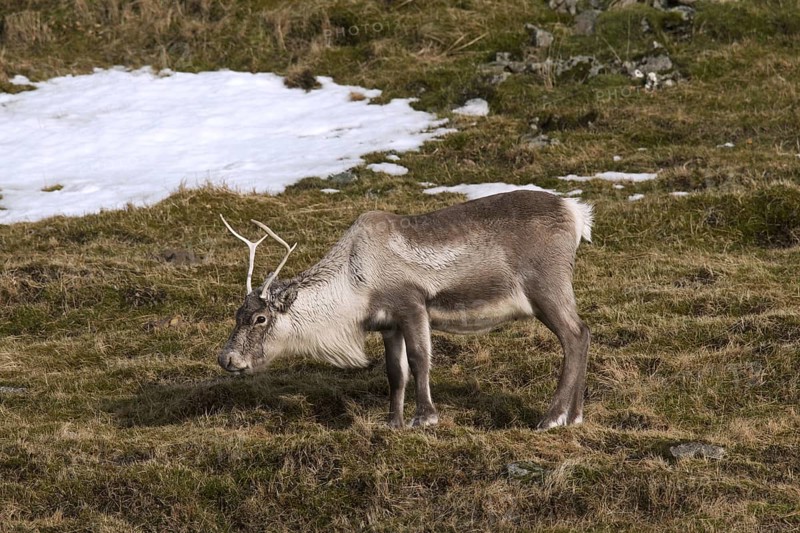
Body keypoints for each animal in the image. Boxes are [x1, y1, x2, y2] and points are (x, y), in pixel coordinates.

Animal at [217, 190, 593, 429]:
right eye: (237, 314)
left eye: (261, 318)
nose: (227, 359)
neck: (355, 284)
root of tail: (576, 213)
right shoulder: (388, 324)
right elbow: (395, 372)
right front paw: (392, 422)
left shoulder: (412, 305)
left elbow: (419, 359)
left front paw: (424, 417)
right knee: (584, 332)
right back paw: (574, 416)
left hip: (546, 288)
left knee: (574, 336)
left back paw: (551, 418)